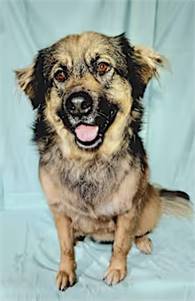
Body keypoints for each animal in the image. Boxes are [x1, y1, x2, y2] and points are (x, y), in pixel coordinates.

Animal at [15, 31, 192, 290]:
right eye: (60, 74)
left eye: (102, 66)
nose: (78, 104)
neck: (88, 160)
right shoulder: (59, 211)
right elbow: (65, 247)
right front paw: (66, 271)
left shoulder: (128, 211)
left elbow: (120, 244)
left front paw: (116, 270)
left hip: (146, 210)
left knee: (138, 233)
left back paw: (143, 241)